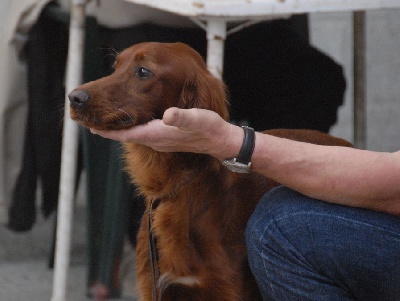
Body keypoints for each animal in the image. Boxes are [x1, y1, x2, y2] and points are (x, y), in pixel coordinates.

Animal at [69, 42, 354, 300]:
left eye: (143, 71)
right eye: (115, 67)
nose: (74, 97)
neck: (178, 187)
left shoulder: (228, 289)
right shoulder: (152, 285)